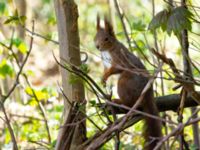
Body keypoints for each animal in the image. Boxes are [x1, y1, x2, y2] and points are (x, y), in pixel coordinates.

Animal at [94, 15, 162, 149]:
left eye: (106, 39)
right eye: (95, 37)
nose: (98, 47)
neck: (108, 50)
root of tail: (147, 93)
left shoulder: (120, 59)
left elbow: (115, 69)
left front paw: (106, 76)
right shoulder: (105, 63)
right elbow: (105, 71)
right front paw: (103, 80)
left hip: (124, 82)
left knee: (130, 104)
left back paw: (118, 101)